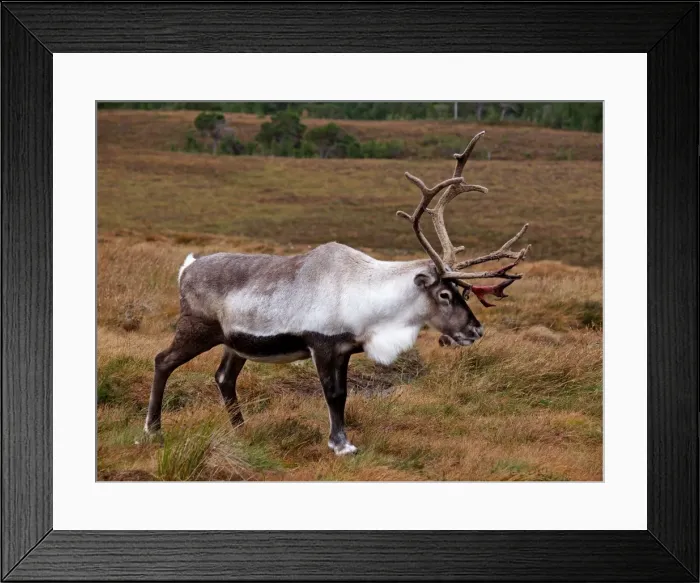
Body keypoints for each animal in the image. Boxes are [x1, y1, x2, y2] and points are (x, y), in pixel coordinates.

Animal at [144, 131, 530, 455]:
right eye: (445, 295)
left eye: (463, 291)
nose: (476, 330)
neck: (368, 297)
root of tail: (186, 268)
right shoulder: (322, 345)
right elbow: (331, 394)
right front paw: (341, 445)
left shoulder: (344, 349)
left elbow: (342, 395)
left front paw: (341, 440)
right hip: (196, 328)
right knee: (163, 360)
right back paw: (153, 429)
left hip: (235, 342)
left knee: (224, 377)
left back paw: (241, 430)